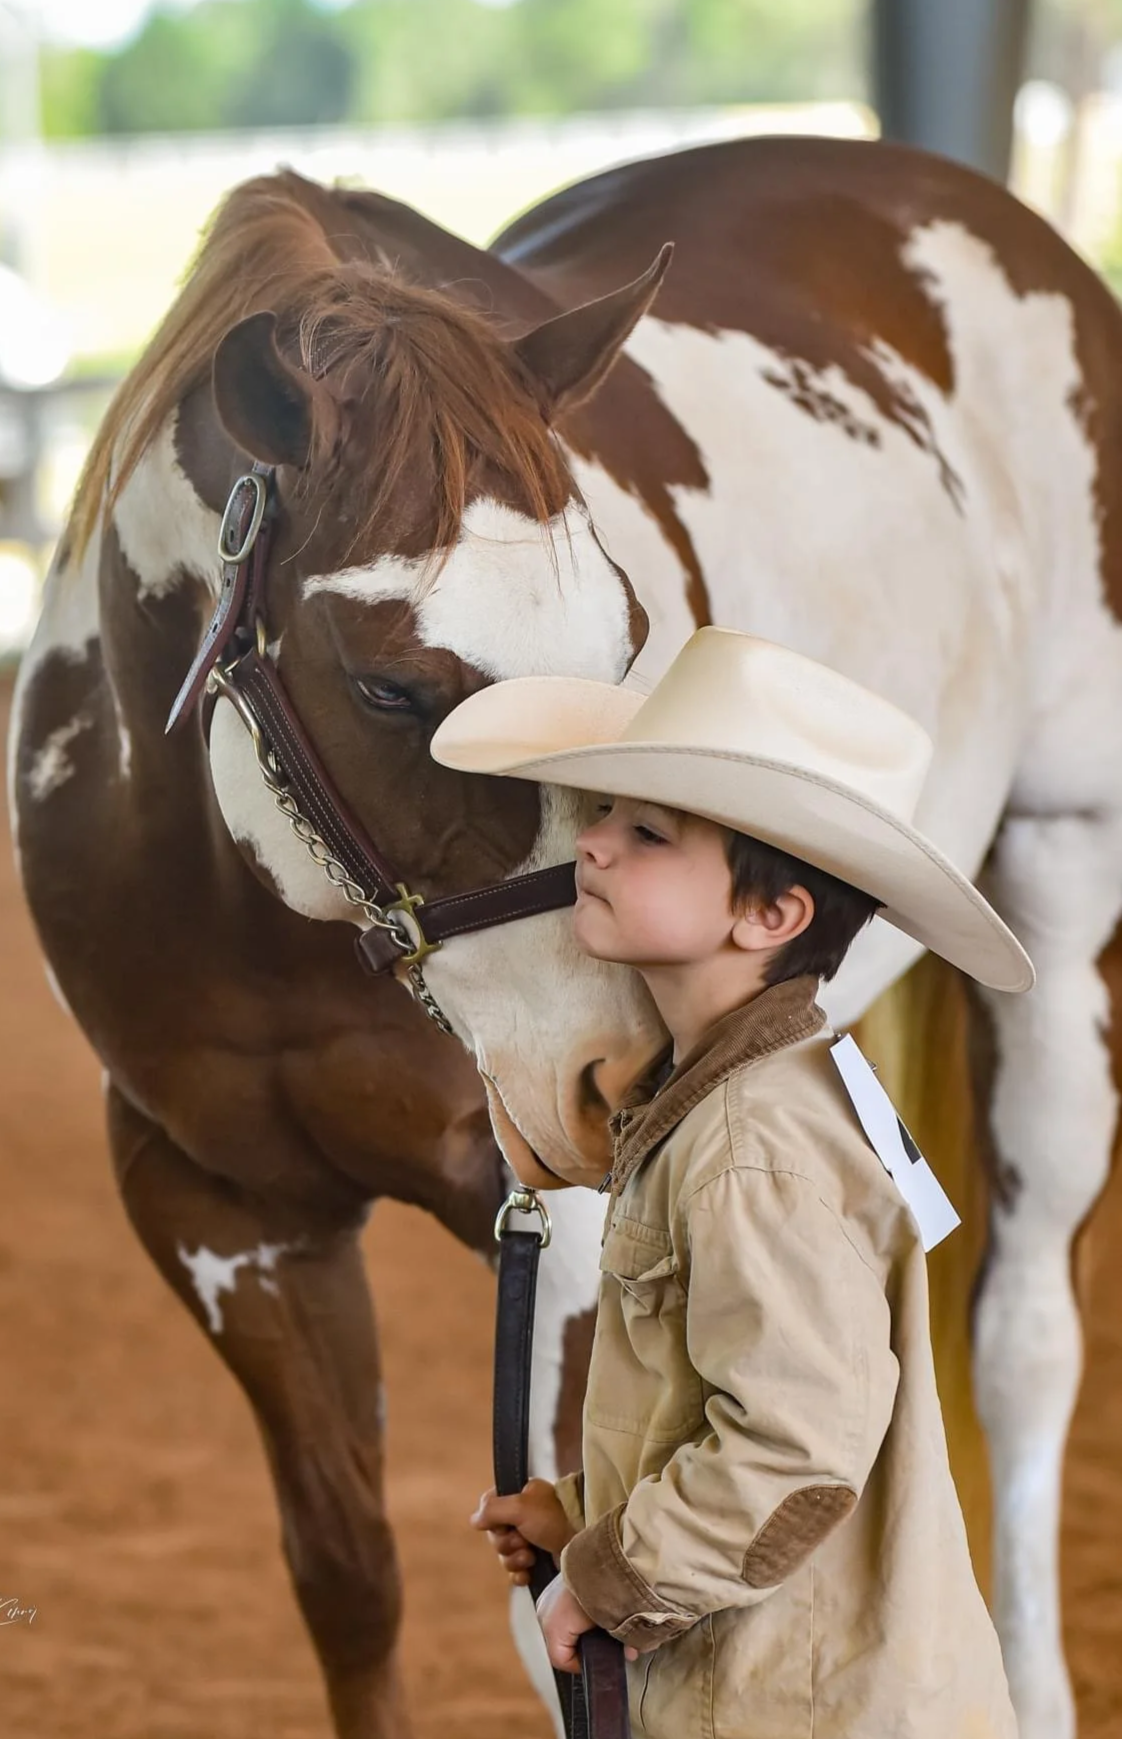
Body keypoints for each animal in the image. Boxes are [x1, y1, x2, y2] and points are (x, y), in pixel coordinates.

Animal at [11, 136, 1122, 1739]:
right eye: (390, 686)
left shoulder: (585, 1233)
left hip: (1058, 884)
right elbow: (349, 1575)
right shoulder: (224, 1208)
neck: (278, 922)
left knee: (1024, 1339)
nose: (610, 1068)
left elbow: (581, 1614)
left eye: (629, 641)